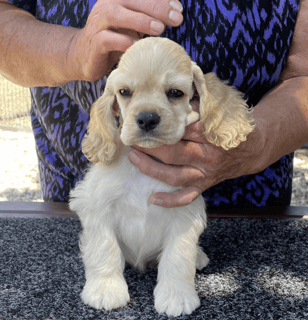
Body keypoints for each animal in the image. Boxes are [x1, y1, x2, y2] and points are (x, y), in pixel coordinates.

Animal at [70, 37, 255, 318]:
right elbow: (104, 249)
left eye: (175, 93)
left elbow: (177, 257)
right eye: (124, 92)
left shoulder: (184, 212)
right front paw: (106, 290)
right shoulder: (97, 206)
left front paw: (176, 296)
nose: (146, 118)